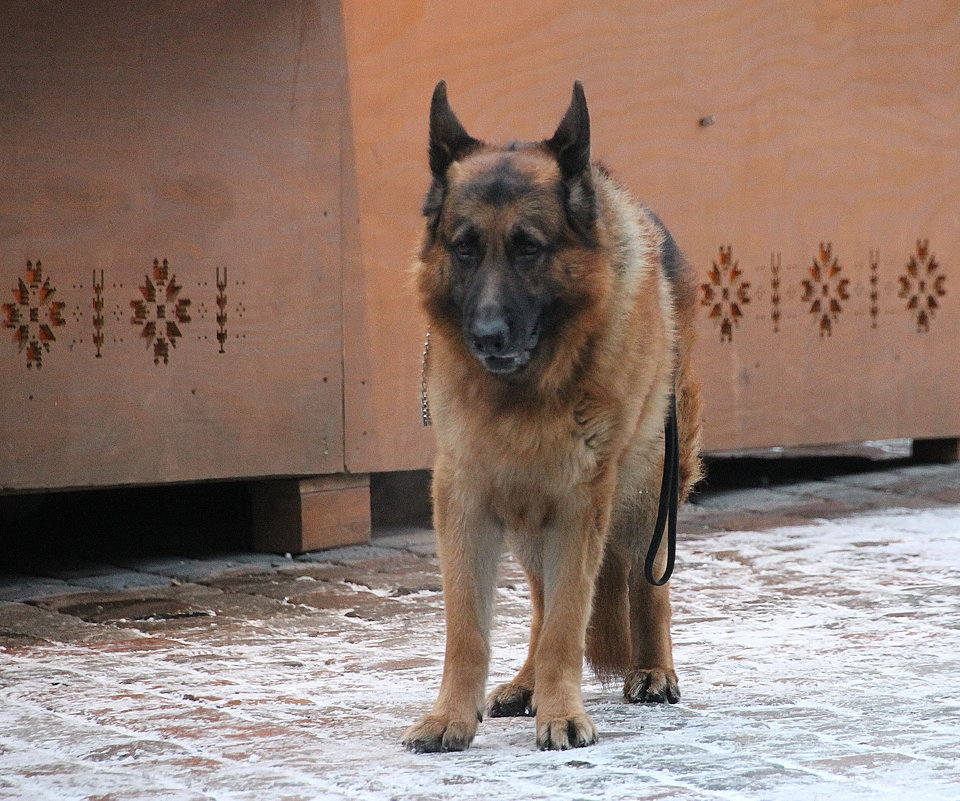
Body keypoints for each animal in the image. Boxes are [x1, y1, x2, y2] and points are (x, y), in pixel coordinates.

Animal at [402, 81, 700, 752]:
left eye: (528, 249)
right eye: (464, 248)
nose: (486, 336)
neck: (524, 394)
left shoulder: (579, 503)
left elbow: (571, 618)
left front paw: (563, 713)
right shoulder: (466, 500)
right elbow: (469, 628)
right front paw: (452, 715)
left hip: (645, 492)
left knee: (646, 583)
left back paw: (652, 669)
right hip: (529, 517)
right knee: (540, 603)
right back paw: (526, 682)